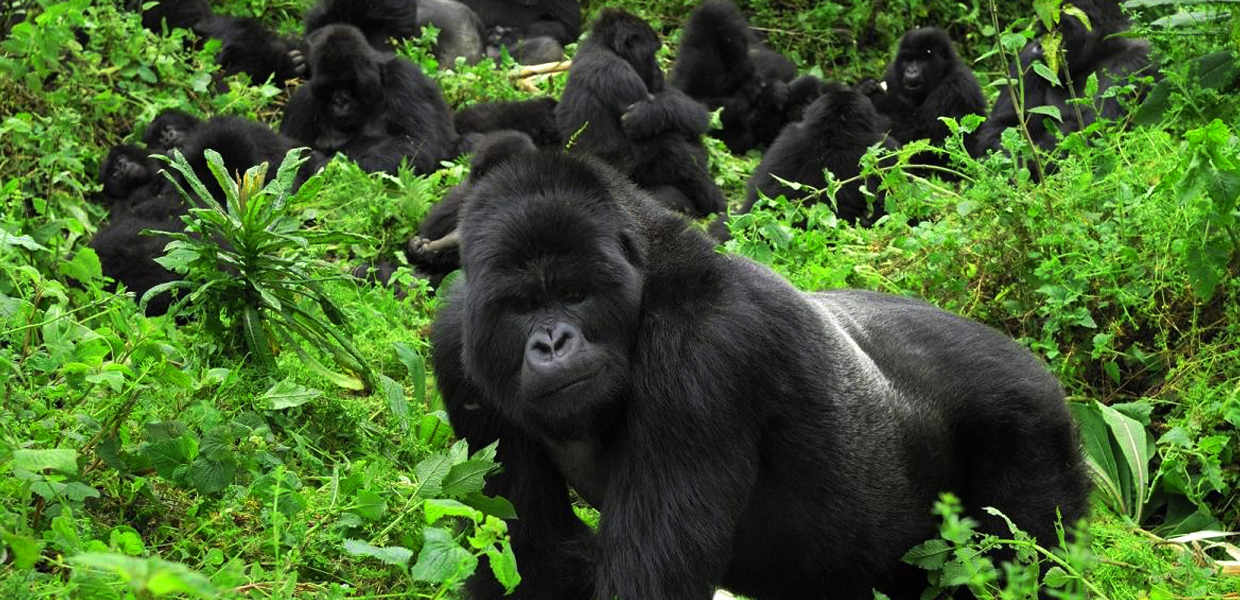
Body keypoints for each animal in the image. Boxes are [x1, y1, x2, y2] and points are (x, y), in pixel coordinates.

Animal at [279, 26, 458, 176]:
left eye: (347, 84)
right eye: (330, 86)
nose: (339, 101)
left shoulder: (403, 78)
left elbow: (415, 143)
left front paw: (326, 166)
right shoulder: (301, 102)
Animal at [431, 146, 1091, 600]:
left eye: (575, 294)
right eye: (522, 306)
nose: (552, 342)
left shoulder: (704, 351)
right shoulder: (457, 339)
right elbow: (532, 557)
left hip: (1032, 423)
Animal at [555, 8, 724, 218]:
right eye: (652, 53)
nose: (659, 70)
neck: (605, 46)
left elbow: (687, 110)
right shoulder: (618, 73)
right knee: (673, 145)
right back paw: (713, 202)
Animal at [858, 27, 982, 168]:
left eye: (922, 59)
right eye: (908, 60)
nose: (911, 71)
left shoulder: (956, 87)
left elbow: (925, 138)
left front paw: (878, 99)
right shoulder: (891, 73)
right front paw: (865, 87)